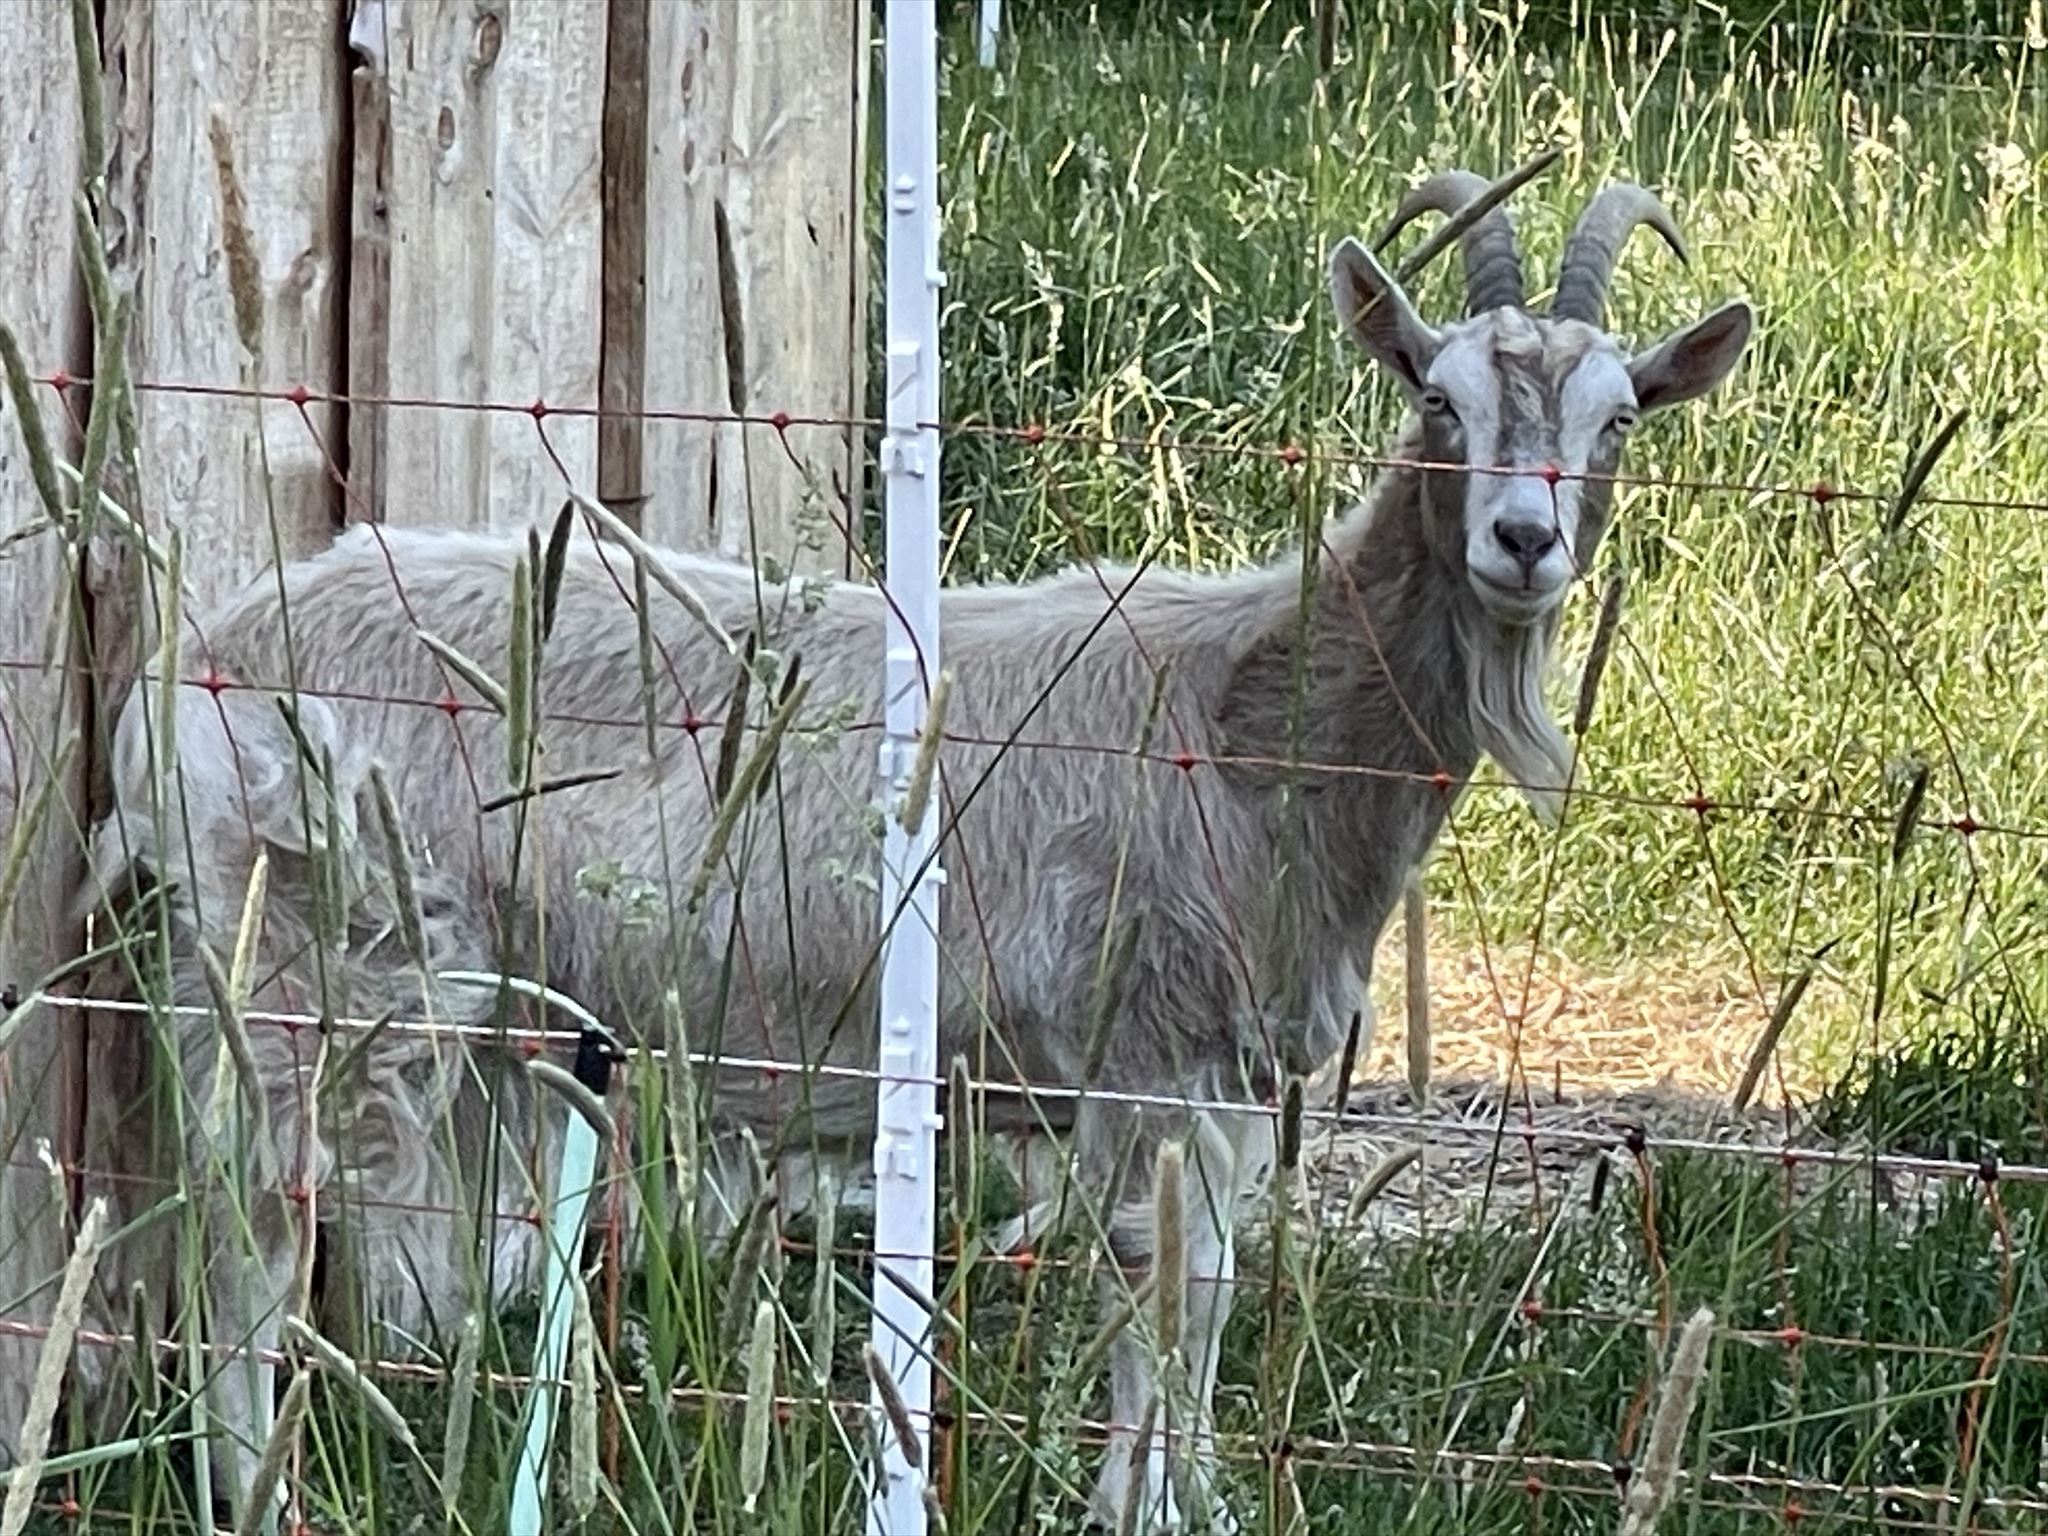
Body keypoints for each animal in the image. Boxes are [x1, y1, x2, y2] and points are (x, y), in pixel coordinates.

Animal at [69, 172, 1751, 1532]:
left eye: (1620, 418)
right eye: (1440, 401)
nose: (1523, 542)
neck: (1254, 713)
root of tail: (195, 665)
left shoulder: (1200, 1076)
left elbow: (1191, 1310)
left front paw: (1187, 1500)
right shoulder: (1145, 1056)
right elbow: (1167, 1301)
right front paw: (1145, 1507)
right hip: (303, 974)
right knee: (244, 1240)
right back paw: (253, 1488)